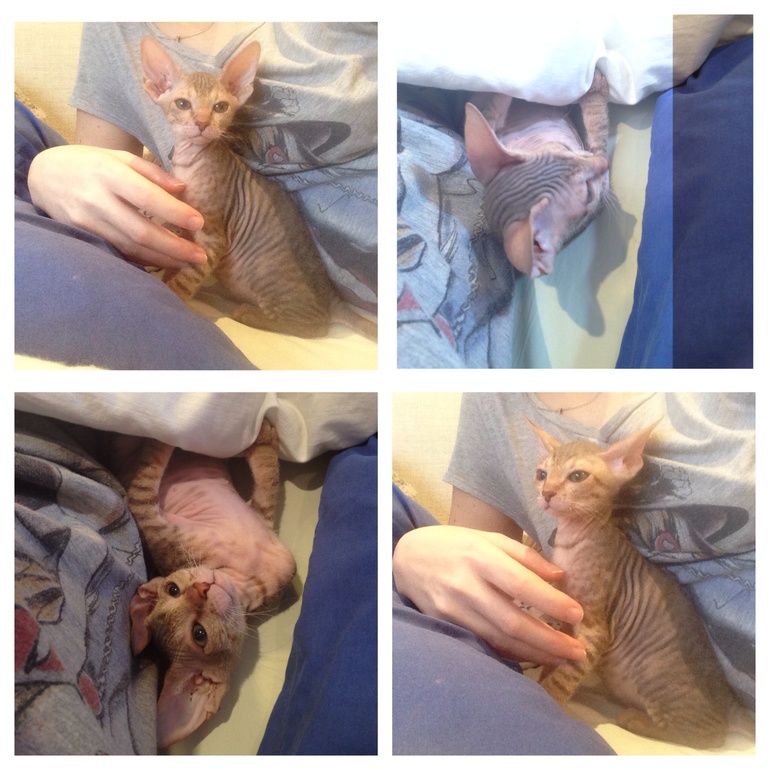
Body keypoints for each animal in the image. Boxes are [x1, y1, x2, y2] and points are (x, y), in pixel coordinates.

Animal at [123, 420, 296, 748]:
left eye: (173, 589)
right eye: (199, 634)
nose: (200, 590)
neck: (242, 580)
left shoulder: (261, 517)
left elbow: (266, 475)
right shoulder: (145, 514)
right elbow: (149, 467)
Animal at [139, 36, 377, 341]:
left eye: (220, 107)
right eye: (182, 103)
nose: (202, 123)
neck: (190, 160)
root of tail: (331, 295)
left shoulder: (213, 237)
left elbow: (188, 277)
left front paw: (171, 295)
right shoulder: (189, 228)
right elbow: (179, 261)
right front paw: (167, 275)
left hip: (265, 274)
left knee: (314, 326)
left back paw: (249, 314)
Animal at [464, 69, 610, 278]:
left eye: (566, 150)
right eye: (589, 193)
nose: (605, 164)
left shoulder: (491, 118)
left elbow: (500, 99)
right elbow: (598, 129)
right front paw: (596, 84)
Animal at [528, 420, 752, 749]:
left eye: (578, 476)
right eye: (542, 474)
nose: (547, 492)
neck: (572, 541)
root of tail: (728, 701)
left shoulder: (594, 630)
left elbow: (567, 673)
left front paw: (547, 695)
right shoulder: (568, 621)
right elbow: (558, 657)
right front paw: (544, 673)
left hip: (655, 675)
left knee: (708, 735)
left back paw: (636, 720)